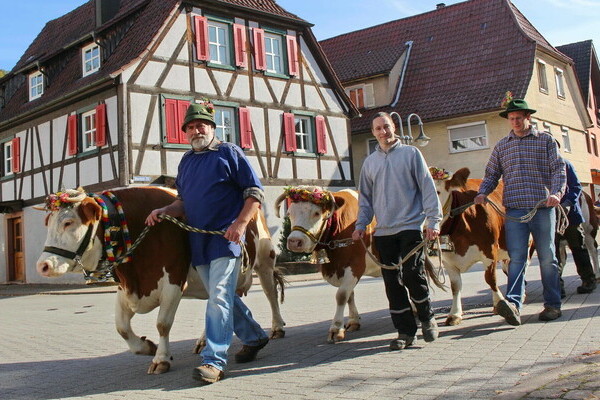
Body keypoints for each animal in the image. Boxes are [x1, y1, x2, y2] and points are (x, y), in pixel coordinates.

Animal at [36, 188, 284, 376]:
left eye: (68, 222)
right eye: (48, 223)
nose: (42, 266)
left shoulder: (172, 282)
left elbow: (162, 323)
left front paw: (160, 359)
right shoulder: (127, 289)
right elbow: (121, 327)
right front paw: (146, 346)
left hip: (265, 260)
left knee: (270, 293)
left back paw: (277, 328)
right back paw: (204, 340)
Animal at [434, 167, 508, 326]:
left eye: (437, 191)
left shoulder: (489, 251)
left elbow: (490, 279)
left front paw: (499, 303)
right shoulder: (448, 260)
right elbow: (455, 286)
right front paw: (455, 314)